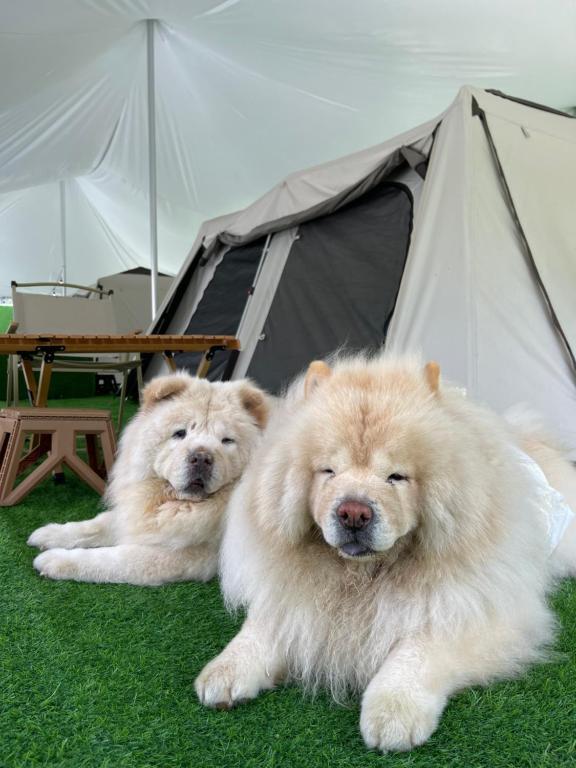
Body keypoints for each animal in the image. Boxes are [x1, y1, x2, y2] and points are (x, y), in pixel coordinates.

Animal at [27, 370, 270, 584]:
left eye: (226, 441)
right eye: (180, 433)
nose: (201, 458)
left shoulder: (184, 555)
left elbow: (113, 559)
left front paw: (54, 559)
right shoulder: (139, 515)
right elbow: (97, 524)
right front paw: (50, 533)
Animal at [195, 356, 576, 752]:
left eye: (396, 477)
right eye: (328, 471)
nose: (353, 512)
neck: (364, 577)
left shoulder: (482, 609)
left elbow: (418, 648)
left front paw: (393, 713)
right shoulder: (289, 598)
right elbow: (263, 626)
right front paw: (226, 669)